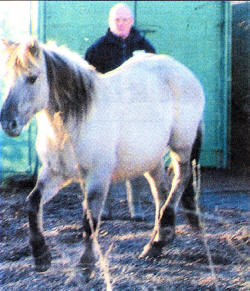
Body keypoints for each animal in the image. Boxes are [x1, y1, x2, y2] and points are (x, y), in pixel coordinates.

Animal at [0, 38, 205, 276]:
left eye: (32, 78)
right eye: (6, 77)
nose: (8, 123)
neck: (74, 121)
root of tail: (184, 72)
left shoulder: (98, 176)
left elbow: (90, 219)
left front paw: (86, 266)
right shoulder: (55, 173)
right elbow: (32, 203)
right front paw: (41, 257)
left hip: (181, 146)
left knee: (181, 179)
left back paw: (160, 237)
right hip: (150, 158)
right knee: (161, 192)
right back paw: (157, 243)